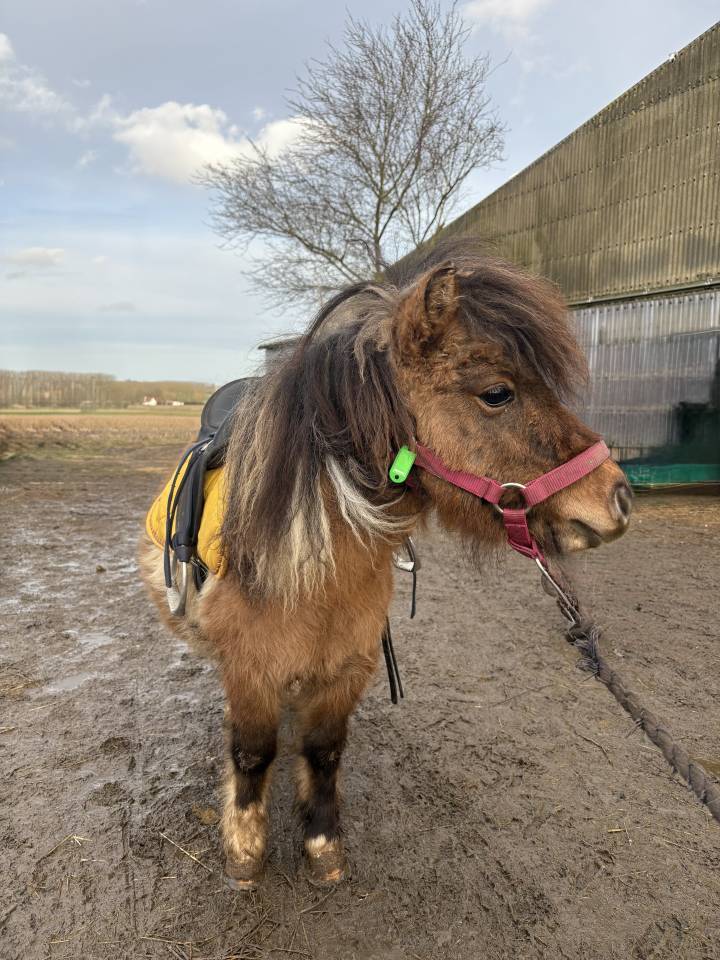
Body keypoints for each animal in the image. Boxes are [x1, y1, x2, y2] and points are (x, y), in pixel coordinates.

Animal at [140, 241, 632, 889]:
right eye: (496, 393)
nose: (618, 499)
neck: (315, 561)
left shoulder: (348, 664)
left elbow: (323, 750)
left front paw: (323, 845)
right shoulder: (251, 667)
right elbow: (251, 752)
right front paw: (244, 853)